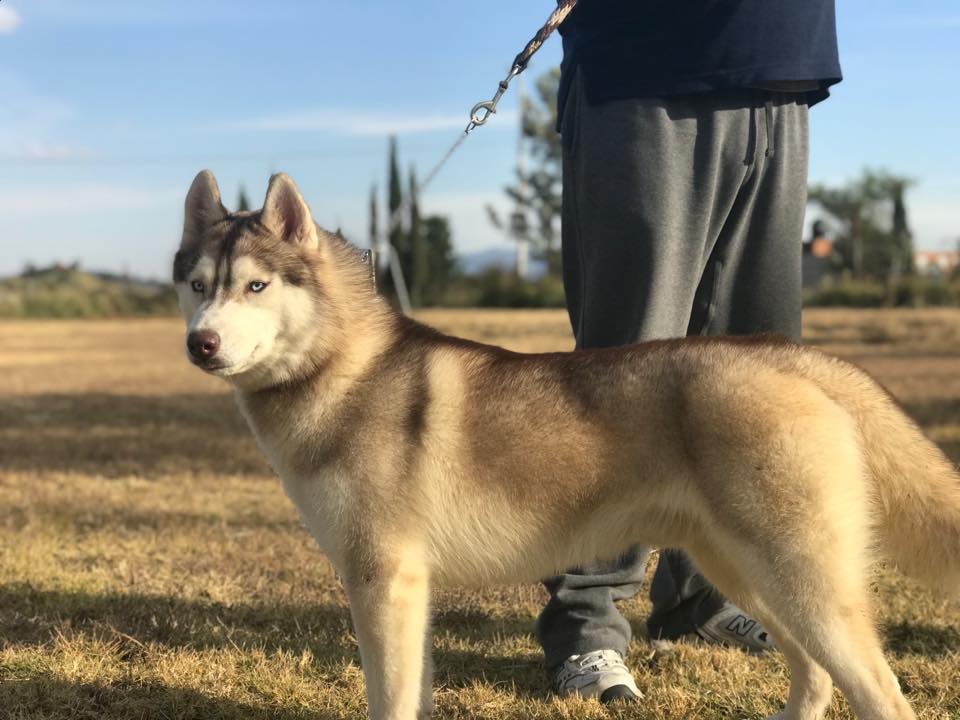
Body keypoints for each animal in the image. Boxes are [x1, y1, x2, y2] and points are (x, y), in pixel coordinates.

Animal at [174, 169, 960, 720]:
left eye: (255, 286)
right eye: (196, 285)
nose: (198, 344)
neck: (343, 367)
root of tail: (789, 356)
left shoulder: (382, 580)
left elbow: (388, 698)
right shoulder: (404, 590)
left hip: (802, 581)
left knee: (881, 693)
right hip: (745, 570)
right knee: (815, 674)